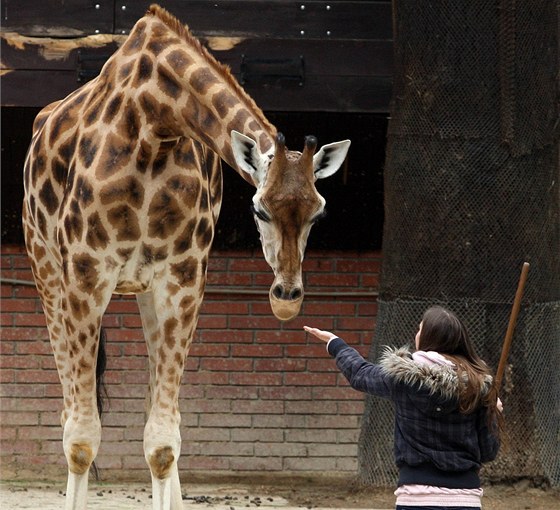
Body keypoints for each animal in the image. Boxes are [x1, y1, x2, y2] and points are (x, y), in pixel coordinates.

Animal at [25, 4, 350, 510]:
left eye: (319, 211)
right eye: (258, 208)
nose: (286, 298)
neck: (153, 122)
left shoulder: (183, 278)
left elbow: (163, 441)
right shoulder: (85, 273)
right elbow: (80, 439)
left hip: (144, 290)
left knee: (161, 415)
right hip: (46, 271)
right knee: (69, 412)